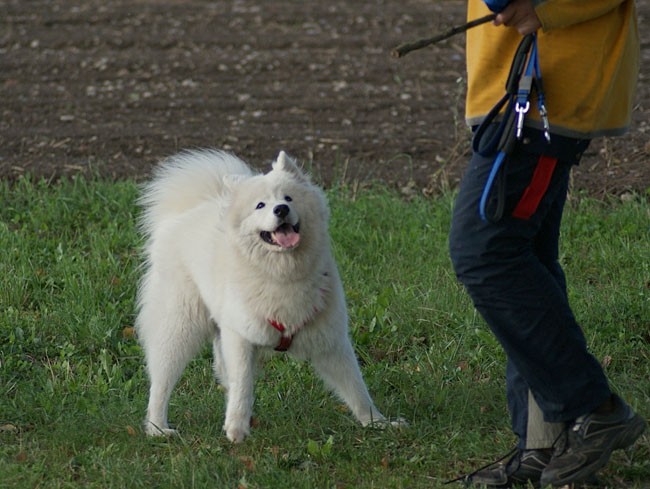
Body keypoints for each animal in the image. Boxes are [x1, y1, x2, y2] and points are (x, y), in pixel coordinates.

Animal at [137, 150, 398, 442]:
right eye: (260, 205)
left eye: (288, 198)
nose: (281, 209)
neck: (282, 275)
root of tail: (188, 211)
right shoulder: (241, 338)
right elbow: (243, 386)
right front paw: (237, 429)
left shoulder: (330, 341)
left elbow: (356, 388)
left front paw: (377, 423)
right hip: (179, 327)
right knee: (161, 382)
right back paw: (158, 428)